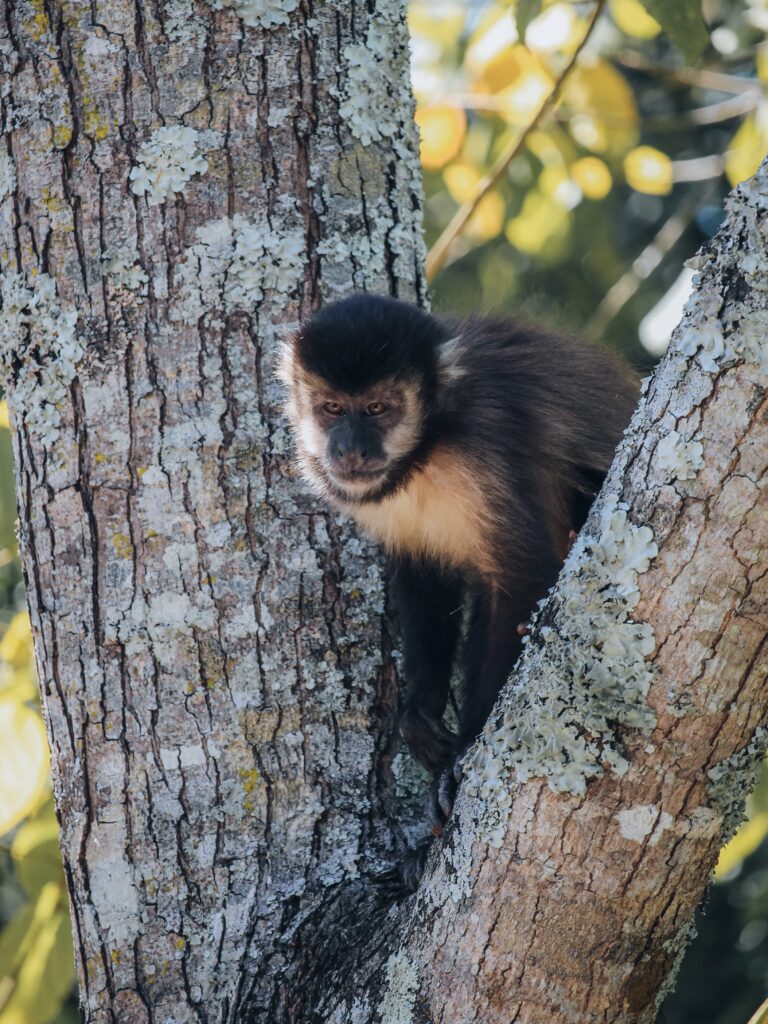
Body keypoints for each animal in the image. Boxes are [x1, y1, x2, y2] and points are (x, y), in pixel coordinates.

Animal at [278, 293, 637, 848]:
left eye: (378, 409)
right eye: (332, 408)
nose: (351, 448)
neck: (432, 447)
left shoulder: (483, 447)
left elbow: (520, 578)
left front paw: (466, 750)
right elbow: (423, 578)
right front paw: (418, 717)